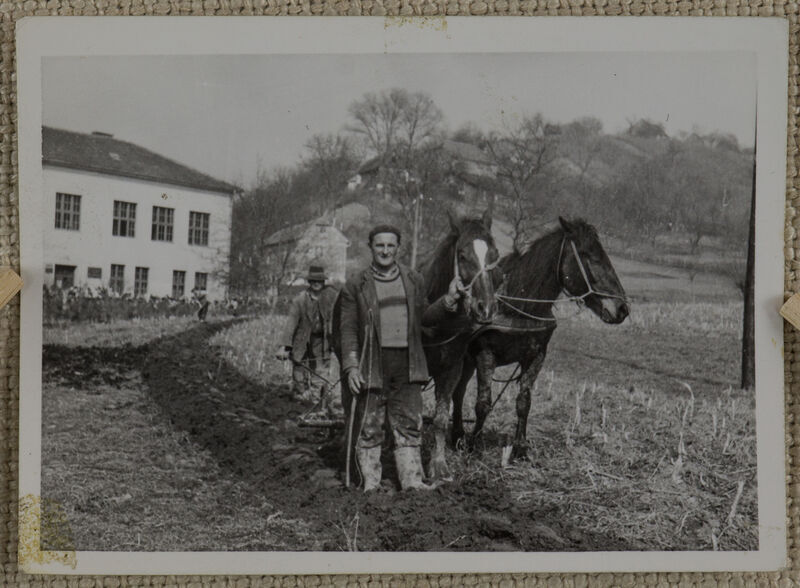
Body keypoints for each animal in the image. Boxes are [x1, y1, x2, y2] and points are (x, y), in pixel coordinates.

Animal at [446, 216, 628, 468]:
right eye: (588, 255)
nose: (622, 309)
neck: (519, 304)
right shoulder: (485, 354)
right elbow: (483, 403)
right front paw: (473, 446)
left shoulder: (536, 356)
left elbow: (524, 402)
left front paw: (520, 449)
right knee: (457, 391)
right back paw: (457, 435)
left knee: (459, 390)